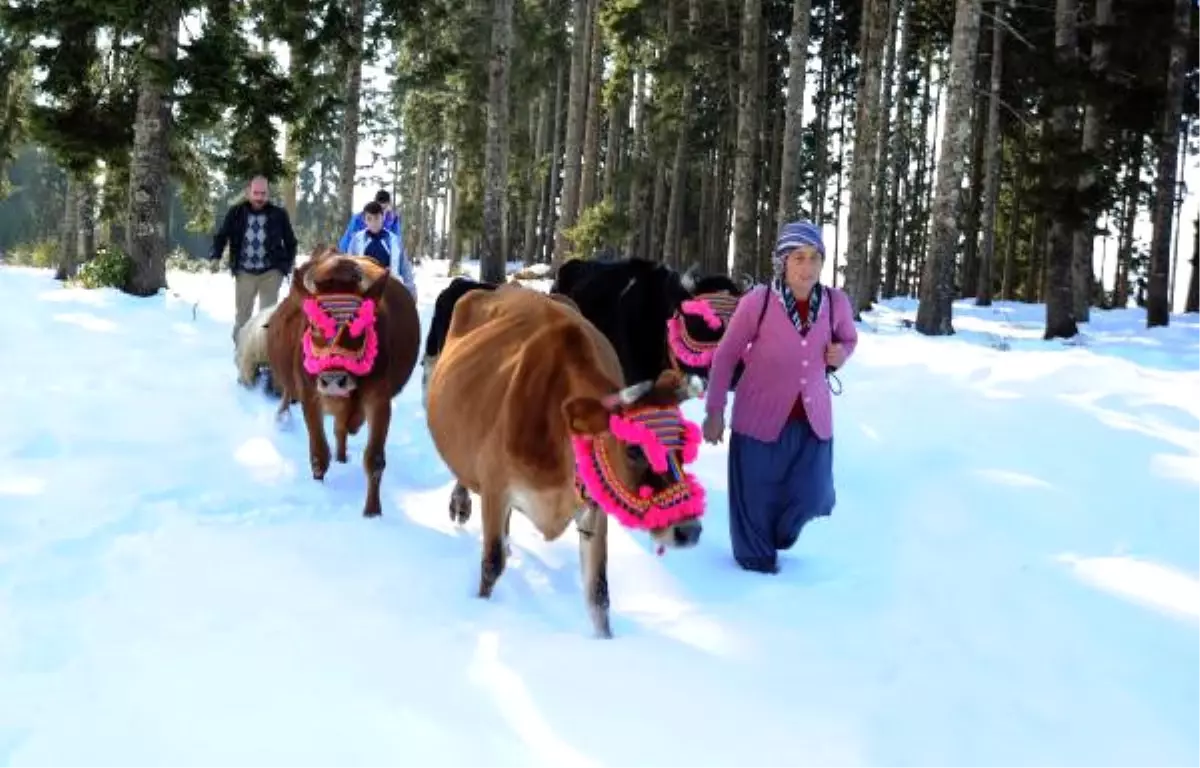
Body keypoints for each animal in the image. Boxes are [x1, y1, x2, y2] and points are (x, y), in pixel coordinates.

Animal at [267, 246, 422, 516]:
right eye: (314, 325)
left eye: (360, 325)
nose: (333, 379)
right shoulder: (310, 395)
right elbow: (319, 453)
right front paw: (319, 489)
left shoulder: (379, 399)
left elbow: (375, 459)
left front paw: (373, 513)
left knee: (342, 429)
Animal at [424, 282, 705, 633]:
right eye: (633, 448)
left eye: (684, 444)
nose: (689, 530)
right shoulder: (495, 487)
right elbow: (491, 565)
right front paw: (481, 606)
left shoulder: (595, 505)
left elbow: (598, 592)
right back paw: (461, 504)